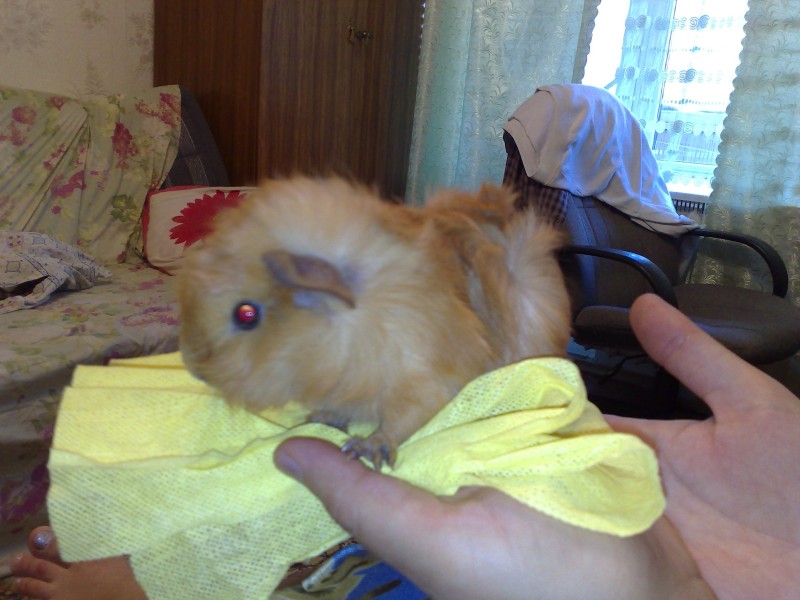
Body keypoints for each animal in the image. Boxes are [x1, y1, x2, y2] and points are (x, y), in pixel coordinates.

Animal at [177, 176, 570, 469]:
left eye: (246, 314)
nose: (193, 367)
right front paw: (320, 420)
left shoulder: (425, 383)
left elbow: (400, 421)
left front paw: (365, 450)